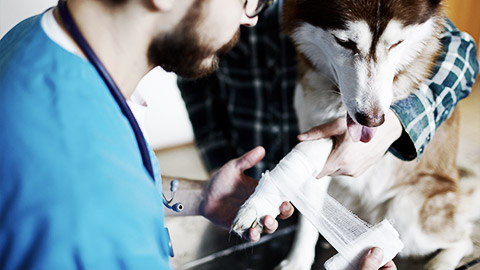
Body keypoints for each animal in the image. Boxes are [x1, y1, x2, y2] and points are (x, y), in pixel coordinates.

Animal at [232, 0, 476, 270]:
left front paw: (258, 202)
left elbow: (307, 149)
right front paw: (297, 261)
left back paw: (439, 263)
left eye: (397, 43)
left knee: (464, 239)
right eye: (344, 42)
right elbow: (308, 218)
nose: (373, 120)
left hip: (406, 213)